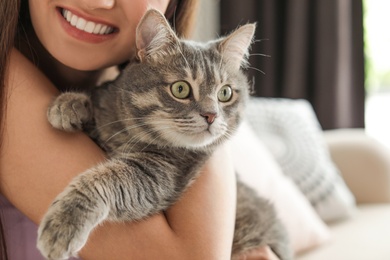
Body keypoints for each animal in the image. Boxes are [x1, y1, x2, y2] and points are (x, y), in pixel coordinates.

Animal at [37, 8, 292, 260]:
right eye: (181, 89)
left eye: (225, 93)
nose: (211, 115)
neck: (125, 132)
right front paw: (70, 104)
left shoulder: (157, 175)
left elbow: (104, 179)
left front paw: (65, 222)